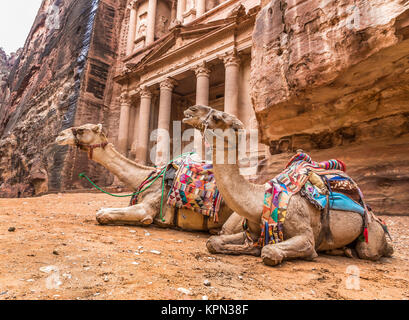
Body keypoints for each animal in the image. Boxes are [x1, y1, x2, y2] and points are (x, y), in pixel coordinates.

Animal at [182, 105, 392, 264]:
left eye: (218, 117)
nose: (191, 110)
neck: (258, 200)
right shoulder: (252, 229)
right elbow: (213, 242)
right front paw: (248, 248)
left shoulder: (304, 233)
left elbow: (271, 251)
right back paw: (343, 250)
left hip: (370, 232)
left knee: (370, 250)